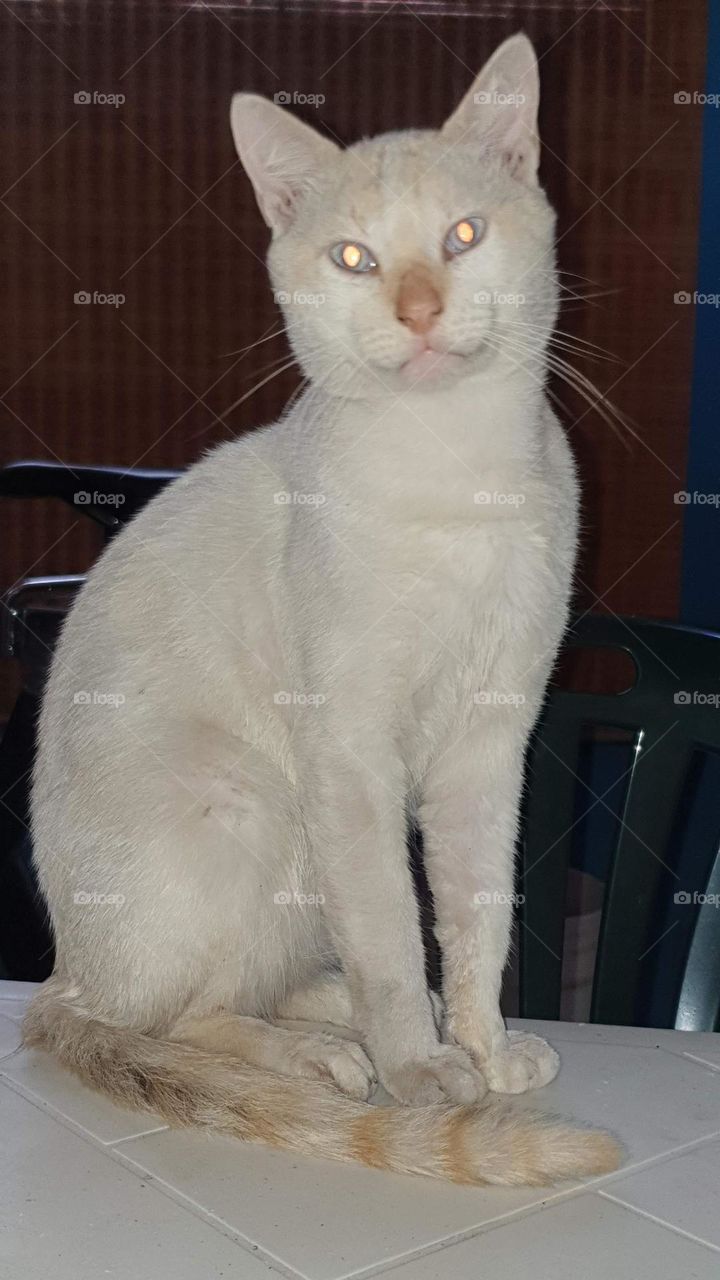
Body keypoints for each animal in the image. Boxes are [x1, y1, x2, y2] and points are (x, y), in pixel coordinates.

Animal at [23, 32, 617, 1187]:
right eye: (353, 259)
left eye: (463, 236)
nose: (420, 309)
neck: (455, 478)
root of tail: (63, 970)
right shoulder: (351, 750)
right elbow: (390, 923)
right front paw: (427, 1074)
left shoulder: (491, 743)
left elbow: (475, 918)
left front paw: (480, 1050)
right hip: (256, 803)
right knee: (167, 1017)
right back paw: (335, 1059)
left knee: (263, 982)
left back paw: (363, 1031)